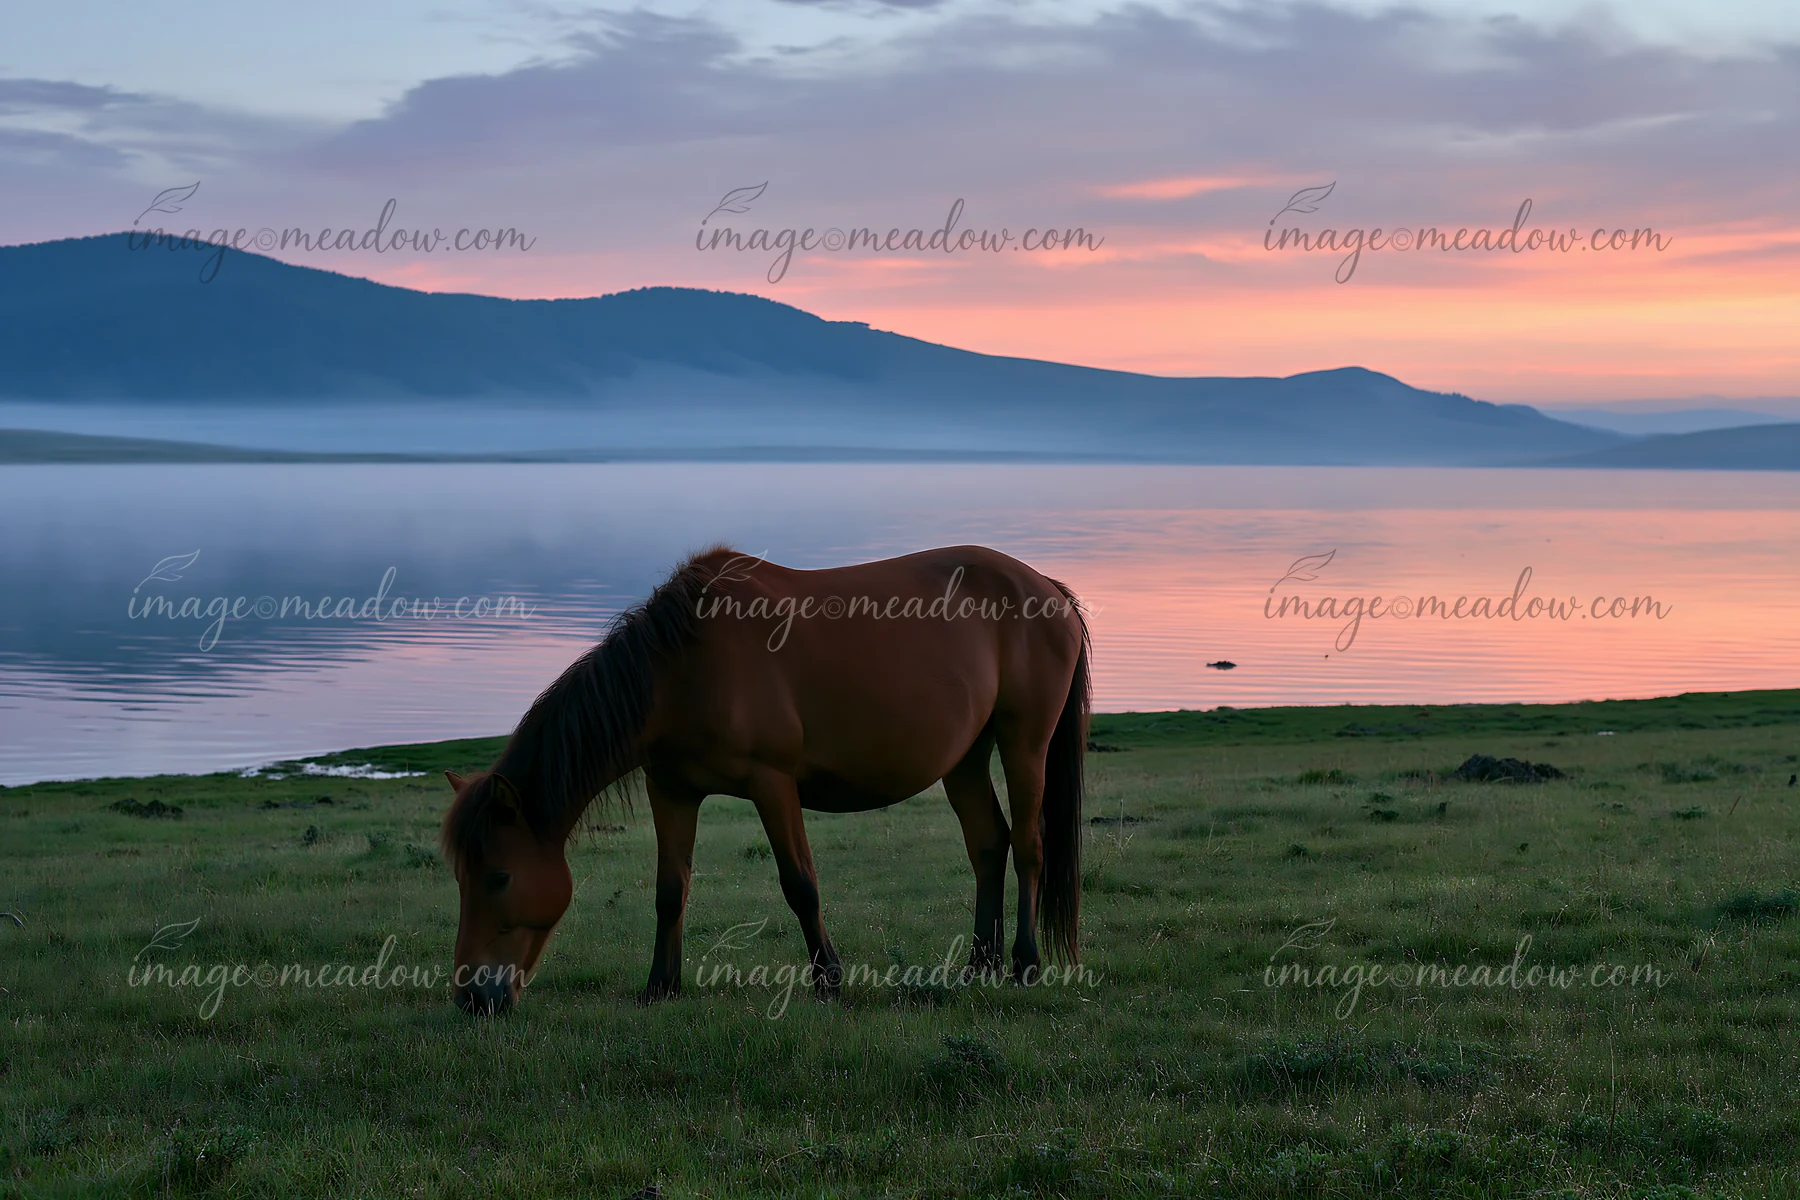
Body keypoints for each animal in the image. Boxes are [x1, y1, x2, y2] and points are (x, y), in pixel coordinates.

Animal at [440, 544, 1089, 1014]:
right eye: (462, 878)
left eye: (498, 876)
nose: (473, 996)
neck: (681, 667)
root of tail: (1047, 589)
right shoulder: (670, 790)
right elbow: (670, 890)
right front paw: (661, 986)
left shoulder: (772, 783)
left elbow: (800, 883)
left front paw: (829, 981)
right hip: (966, 758)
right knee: (988, 845)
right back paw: (978, 965)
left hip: (1024, 742)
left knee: (1028, 846)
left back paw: (1024, 964)